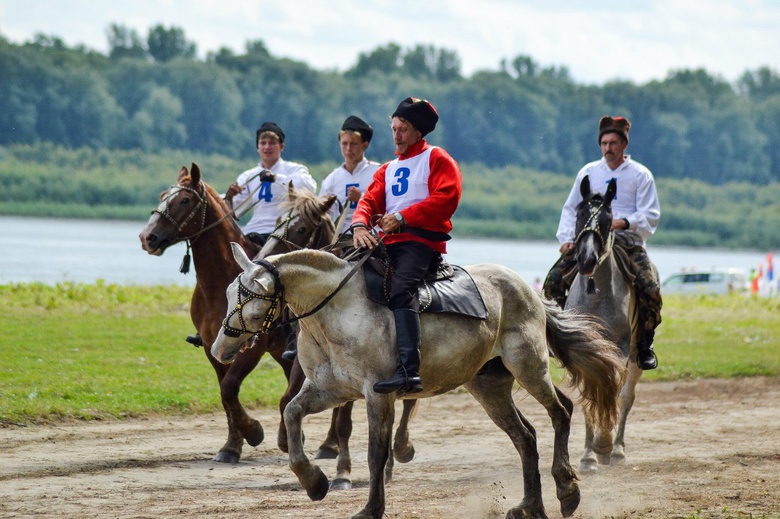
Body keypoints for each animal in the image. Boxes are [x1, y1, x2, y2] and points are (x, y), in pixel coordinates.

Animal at [210, 245, 624, 519]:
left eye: (252, 305)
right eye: (228, 294)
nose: (220, 349)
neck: (338, 311)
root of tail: (525, 289)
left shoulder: (377, 396)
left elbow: (376, 455)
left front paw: (370, 509)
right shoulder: (329, 391)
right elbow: (292, 413)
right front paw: (314, 482)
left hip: (529, 366)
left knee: (561, 412)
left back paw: (567, 490)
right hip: (489, 388)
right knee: (526, 437)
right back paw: (530, 505)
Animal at [568, 177, 644, 474]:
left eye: (608, 219)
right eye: (578, 214)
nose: (587, 259)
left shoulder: (619, 350)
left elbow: (614, 393)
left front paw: (603, 444)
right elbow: (588, 397)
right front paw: (589, 454)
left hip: (636, 355)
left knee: (626, 396)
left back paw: (617, 448)